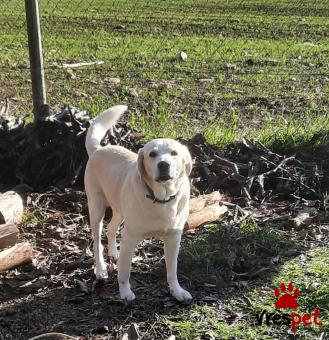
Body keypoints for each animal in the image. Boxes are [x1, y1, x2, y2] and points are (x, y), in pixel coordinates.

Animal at [84, 105, 192, 302]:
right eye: (152, 154)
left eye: (174, 153)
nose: (163, 165)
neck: (162, 199)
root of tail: (98, 149)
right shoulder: (130, 237)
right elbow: (124, 271)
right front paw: (125, 293)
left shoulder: (174, 238)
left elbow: (172, 270)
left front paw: (177, 291)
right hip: (96, 208)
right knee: (96, 242)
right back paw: (101, 269)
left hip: (119, 210)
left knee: (111, 228)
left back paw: (114, 252)